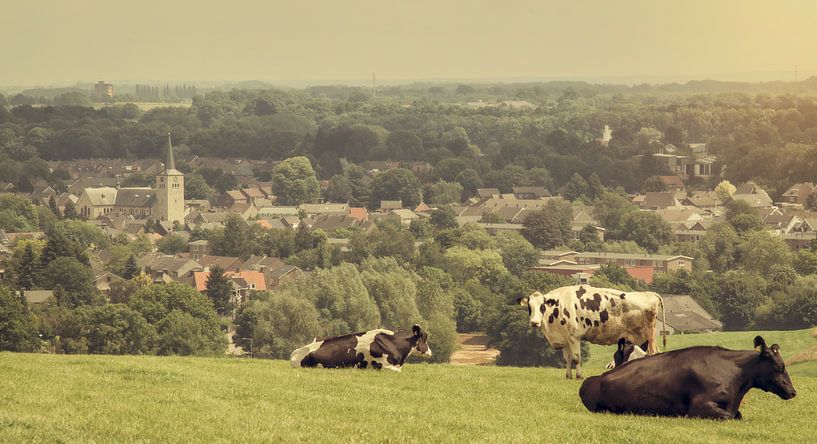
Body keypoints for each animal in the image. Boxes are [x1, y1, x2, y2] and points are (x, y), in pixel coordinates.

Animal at [520, 284, 668, 378]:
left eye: (542, 306)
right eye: (529, 307)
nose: (534, 322)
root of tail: (650, 293)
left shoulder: (574, 336)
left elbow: (576, 358)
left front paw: (579, 376)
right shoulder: (564, 338)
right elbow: (566, 359)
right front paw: (568, 376)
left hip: (646, 337)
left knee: (653, 353)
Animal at [580, 336, 796, 420]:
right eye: (779, 367)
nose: (793, 392)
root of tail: (593, 380)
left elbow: (738, 415)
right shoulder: (699, 406)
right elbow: (731, 417)